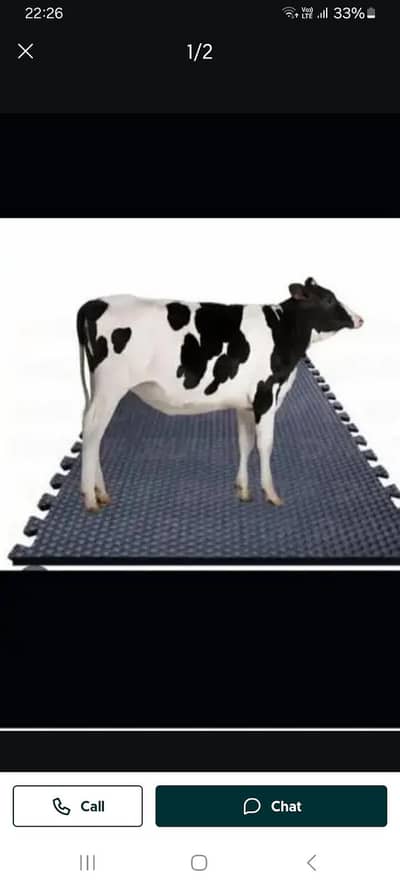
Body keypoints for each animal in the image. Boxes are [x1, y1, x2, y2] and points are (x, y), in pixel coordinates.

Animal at [76, 277, 363, 512]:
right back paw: (90, 498)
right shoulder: (266, 395)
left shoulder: (246, 404)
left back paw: (99, 493)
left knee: (93, 432)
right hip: (110, 387)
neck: (284, 332)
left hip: (99, 387)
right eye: (328, 299)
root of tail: (95, 302)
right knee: (92, 431)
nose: (359, 318)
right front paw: (271, 493)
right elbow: (265, 444)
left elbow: (245, 443)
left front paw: (243, 490)